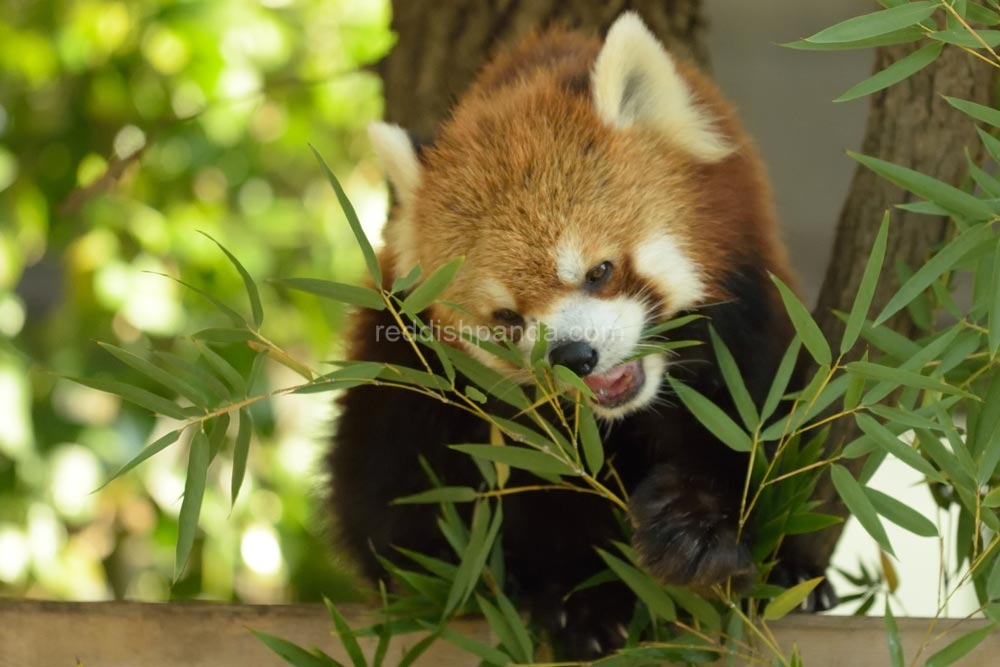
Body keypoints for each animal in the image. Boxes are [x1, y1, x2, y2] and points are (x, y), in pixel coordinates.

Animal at [328, 13, 828, 660]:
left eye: (599, 271)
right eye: (507, 318)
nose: (574, 356)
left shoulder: (752, 332)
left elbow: (751, 435)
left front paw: (693, 526)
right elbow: (535, 496)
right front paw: (586, 604)